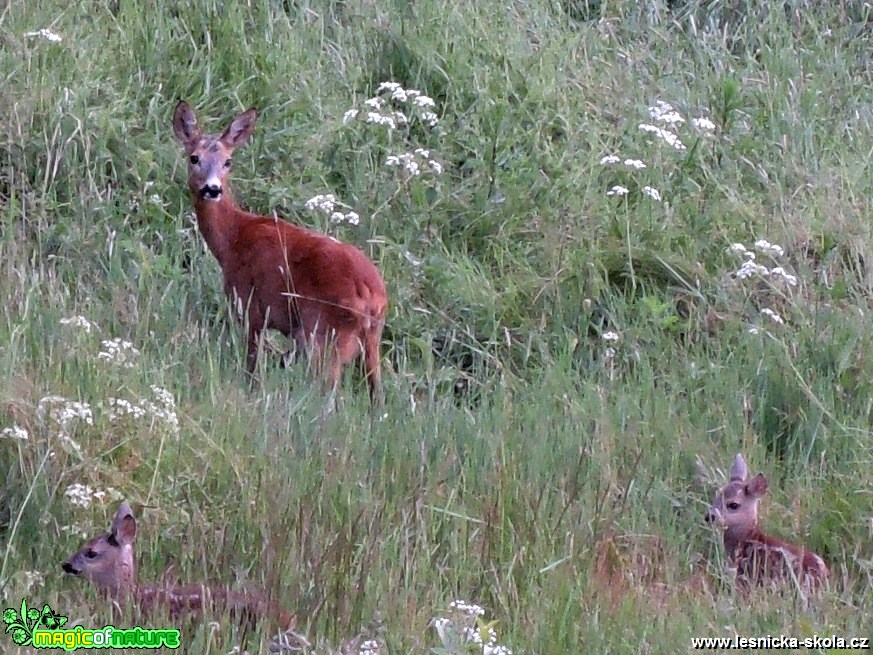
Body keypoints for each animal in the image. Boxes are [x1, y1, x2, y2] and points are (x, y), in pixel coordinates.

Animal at [172, 100, 386, 402]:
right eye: (194, 158)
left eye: (228, 161)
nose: (212, 189)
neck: (232, 239)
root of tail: (370, 295)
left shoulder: (249, 306)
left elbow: (251, 367)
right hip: (371, 340)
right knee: (376, 395)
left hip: (324, 335)